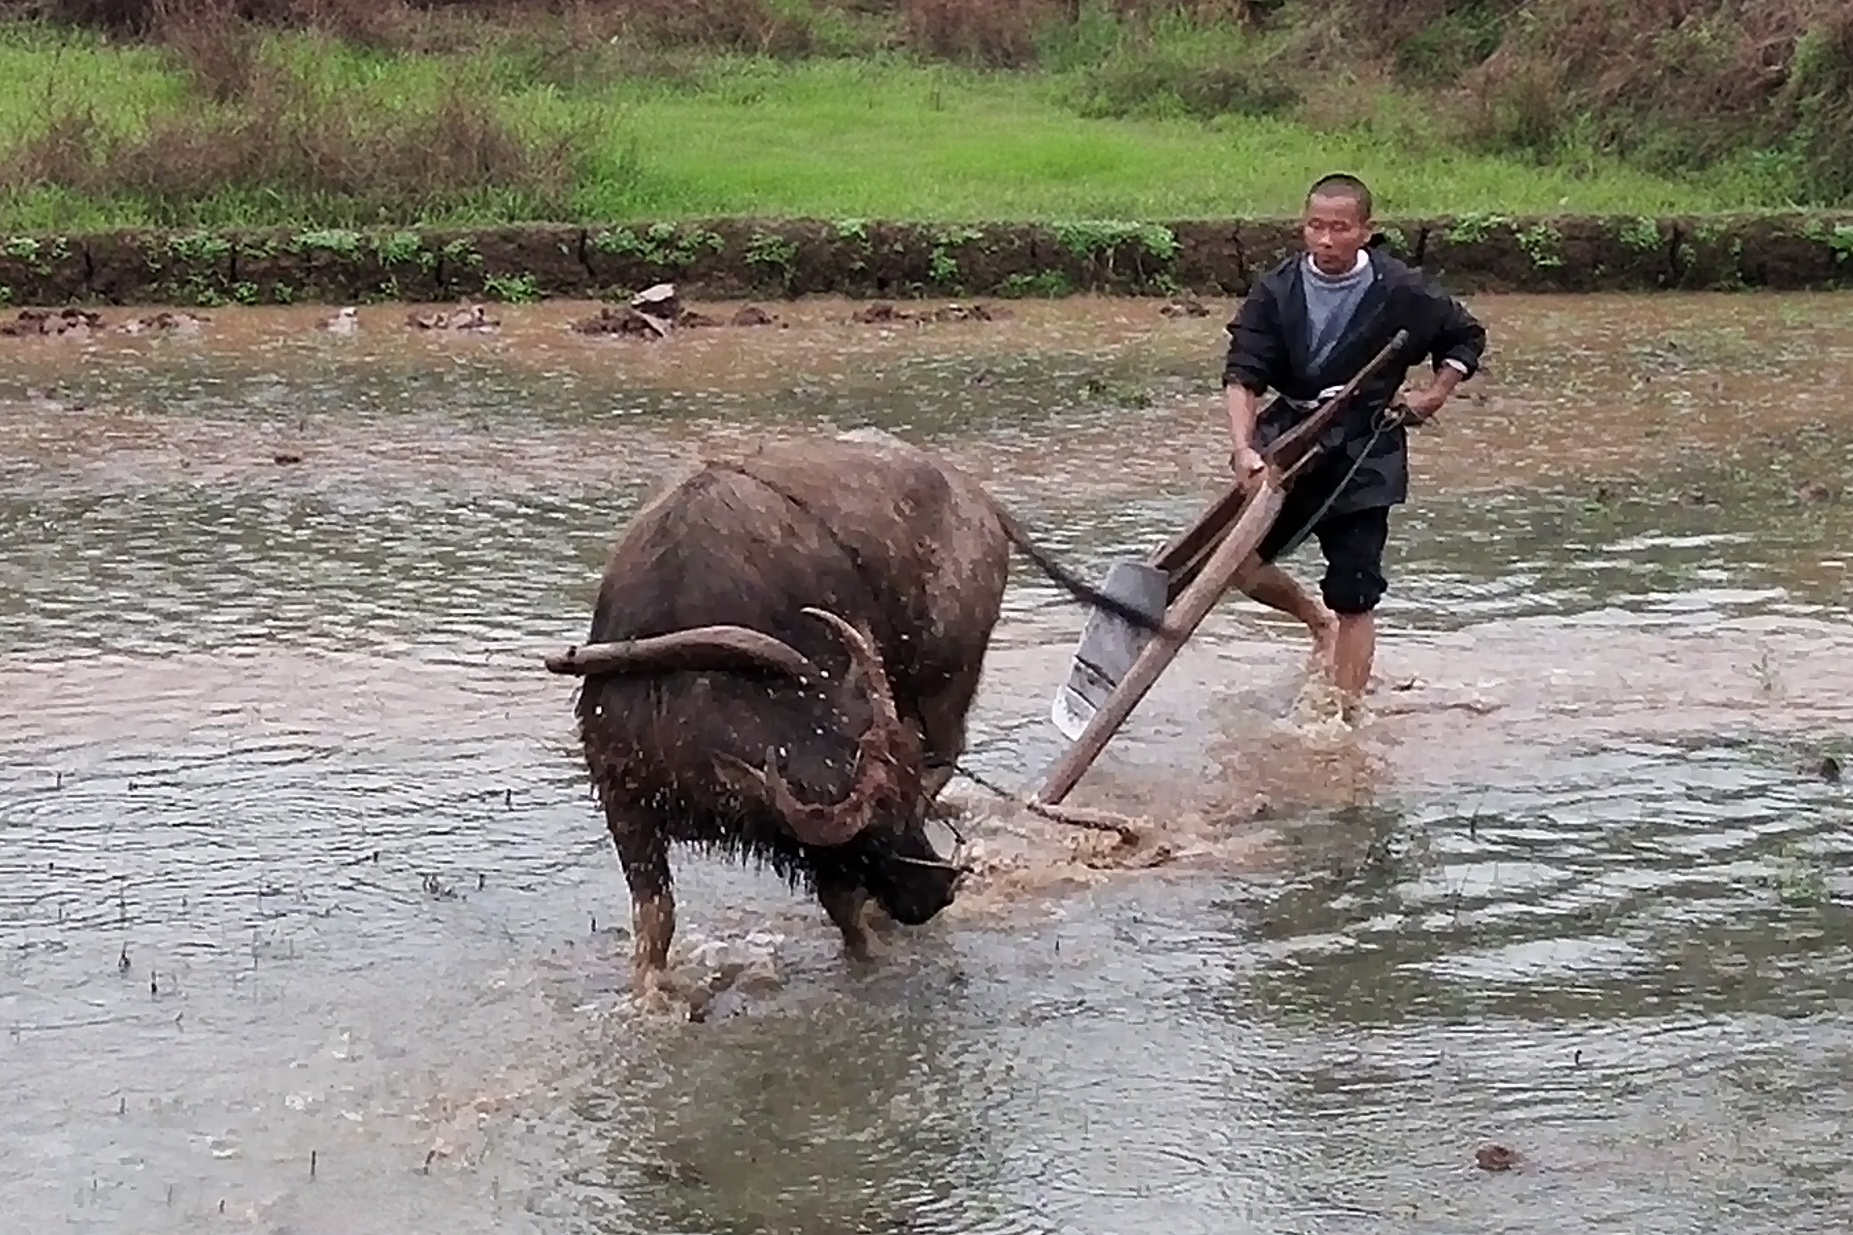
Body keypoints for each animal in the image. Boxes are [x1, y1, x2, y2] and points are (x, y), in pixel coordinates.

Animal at [541, 428, 1163, 993]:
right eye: (873, 832)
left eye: (901, 808)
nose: (938, 889)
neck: (689, 673)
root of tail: (980, 503)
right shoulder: (627, 802)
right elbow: (656, 921)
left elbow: (844, 913)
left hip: (948, 678)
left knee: (945, 752)